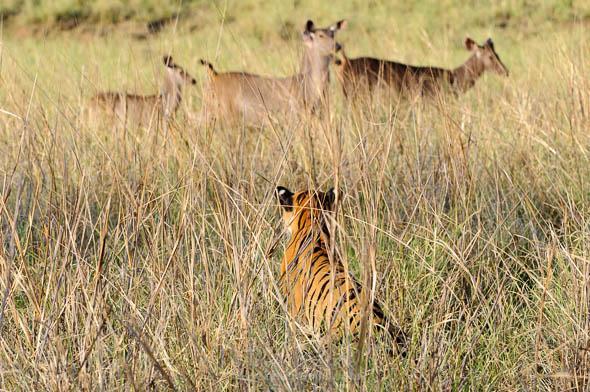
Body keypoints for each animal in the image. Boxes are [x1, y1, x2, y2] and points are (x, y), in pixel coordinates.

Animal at [200, 19, 346, 127]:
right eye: (321, 35)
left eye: (333, 34)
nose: (338, 45)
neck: (309, 85)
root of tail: (214, 75)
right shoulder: (297, 114)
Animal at [336, 37, 512, 101]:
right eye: (490, 57)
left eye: (497, 54)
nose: (506, 71)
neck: (455, 79)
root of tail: (346, 62)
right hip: (360, 93)